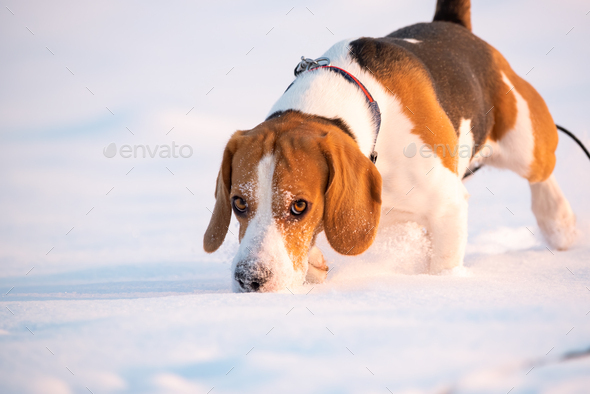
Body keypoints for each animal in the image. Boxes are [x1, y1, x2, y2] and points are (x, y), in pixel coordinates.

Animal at [205, 0, 580, 290]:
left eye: (299, 206)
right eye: (238, 203)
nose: (250, 279)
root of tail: (451, 24)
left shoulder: (447, 205)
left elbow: (443, 265)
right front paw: (314, 263)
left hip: (525, 141)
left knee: (542, 171)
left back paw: (558, 222)